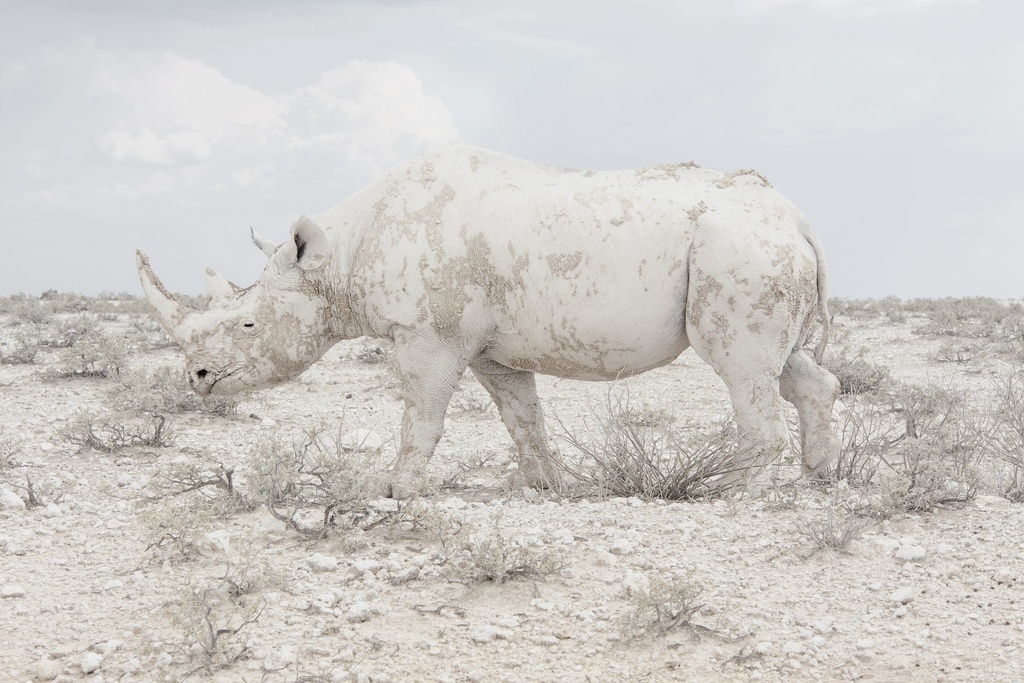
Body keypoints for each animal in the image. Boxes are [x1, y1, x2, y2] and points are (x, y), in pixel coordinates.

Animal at [136, 147, 841, 497]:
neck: (338, 259)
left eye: (248, 327)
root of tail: (795, 216)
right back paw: (816, 479)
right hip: (754, 248)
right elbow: (520, 415)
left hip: (738, 250)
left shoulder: (427, 335)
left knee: (741, 368)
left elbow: (422, 415)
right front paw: (544, 487)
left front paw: (393, 491)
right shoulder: (487, 346)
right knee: (787, 368)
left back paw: (733, 494)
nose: (198, 378)